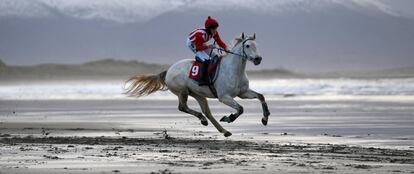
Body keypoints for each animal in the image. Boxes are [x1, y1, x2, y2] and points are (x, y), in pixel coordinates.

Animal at [124, 32, 270, 136]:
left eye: (257, 45)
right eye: (248, 45)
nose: (258, 59)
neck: (234, 70)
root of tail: (169, 70)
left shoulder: (243, 93)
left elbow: (261, 96)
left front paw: (265, 118)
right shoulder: (224, 97)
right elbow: (240, 109)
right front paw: (229, 118)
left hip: (198, 94)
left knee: (207, 112)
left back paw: (223, 131)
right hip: (182, 91)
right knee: (183, 107)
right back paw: (204, 120)